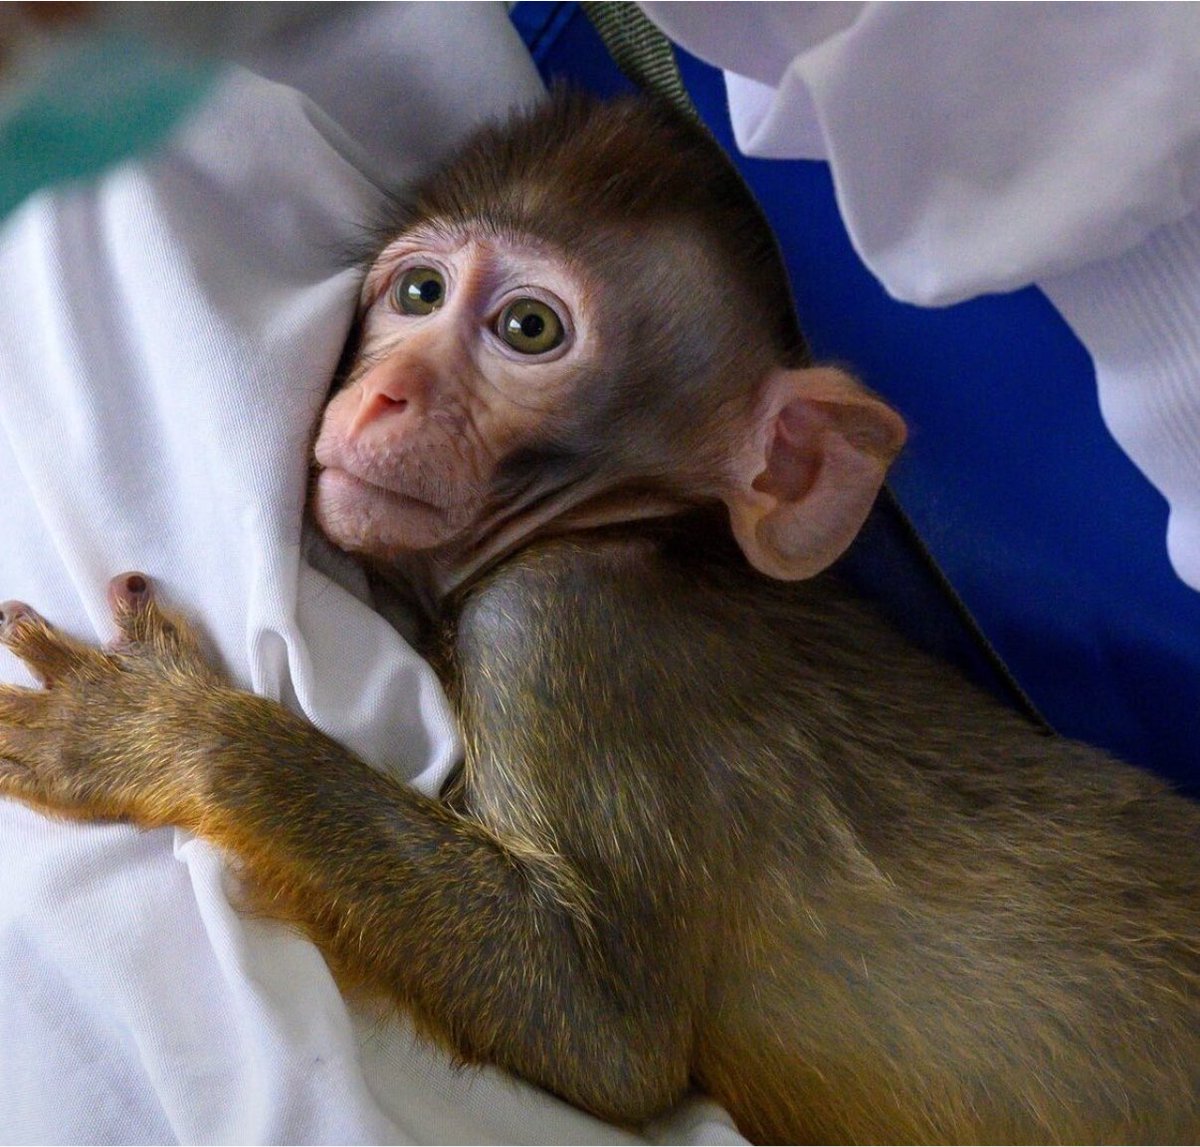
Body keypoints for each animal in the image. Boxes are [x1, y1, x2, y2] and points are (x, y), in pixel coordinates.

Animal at [0, 90, 1199, 1145]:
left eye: (528, 327)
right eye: (419, 293)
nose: (380, 394)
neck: (637, 532)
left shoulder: (556, 631)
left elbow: (598, 1026)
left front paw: (157, 729)